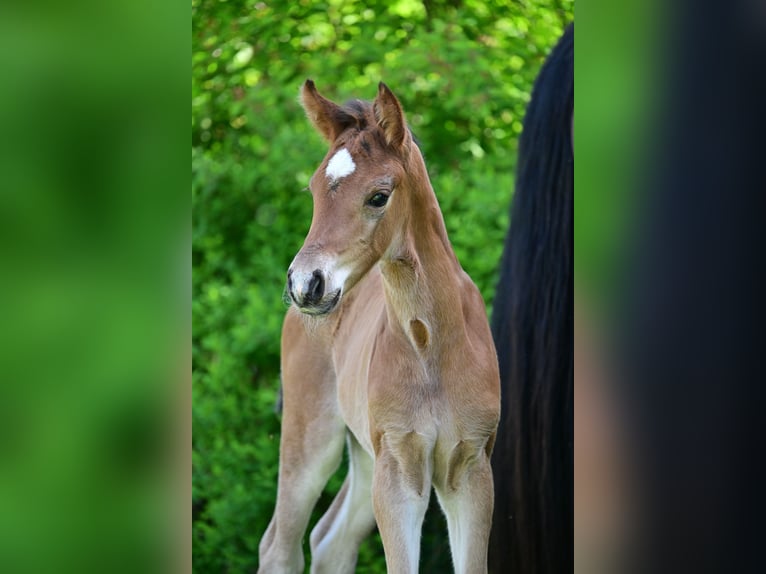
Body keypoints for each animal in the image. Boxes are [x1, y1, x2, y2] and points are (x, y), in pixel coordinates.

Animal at [258, 81, 504, 574]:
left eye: (378, 196)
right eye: (314, 190)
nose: (305, 283)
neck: (432, 346)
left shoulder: (471, 469)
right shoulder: (398, 469)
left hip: (364, 455)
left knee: (329, 541)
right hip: (311, 436)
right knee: (279, 548)